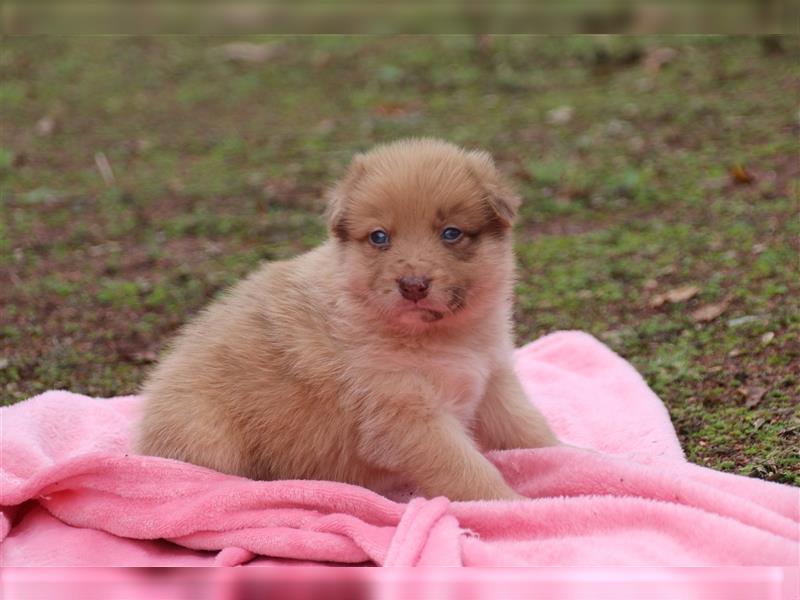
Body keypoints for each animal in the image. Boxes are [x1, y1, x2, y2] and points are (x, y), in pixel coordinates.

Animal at [134, 138, 560, 500]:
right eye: (379, 237)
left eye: (451, 233)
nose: (413, 285)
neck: (440, 336)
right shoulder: (406, 416)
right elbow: (467, 470)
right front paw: (513, 506)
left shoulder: (493, 380)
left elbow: (528, 428)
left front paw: (568, 453)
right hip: (205, 435)